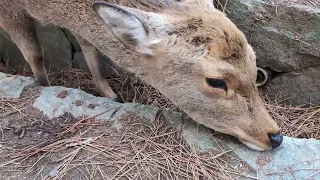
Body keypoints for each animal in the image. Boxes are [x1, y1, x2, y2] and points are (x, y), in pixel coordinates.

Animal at [0, 0, 284, 151]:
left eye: (254, 62)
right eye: (216, 81)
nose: (275, 136)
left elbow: (88, 45)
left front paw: (112, 96)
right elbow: (35, 54)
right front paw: (43, 86)